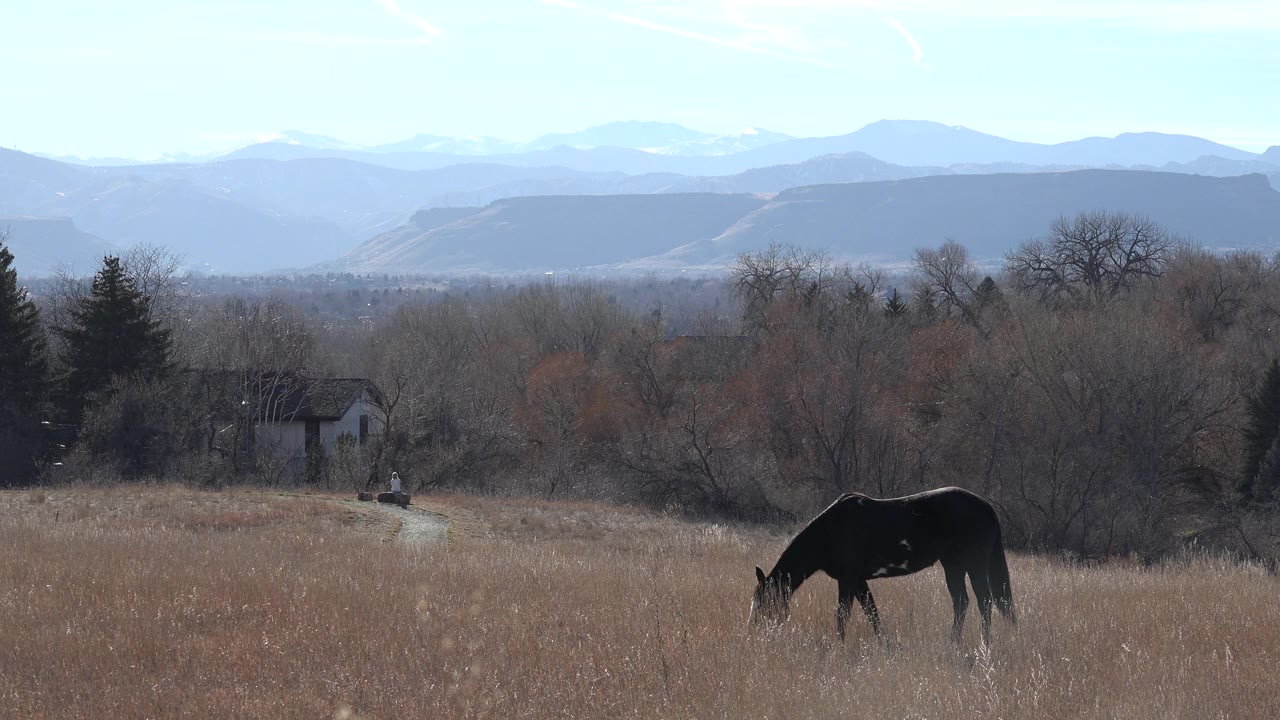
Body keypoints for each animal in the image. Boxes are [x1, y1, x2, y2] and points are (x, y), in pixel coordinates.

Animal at [749, 487, 1016, 646]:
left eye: (765, 602)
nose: (754, 632)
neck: (831, 531)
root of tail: (986, 507)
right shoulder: (858, 581)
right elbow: (871, 611)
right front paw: (884, 644)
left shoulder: (847, 580)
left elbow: (843, 614)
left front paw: (839, 645)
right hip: (953, 565)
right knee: (962, 602)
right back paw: (952, 643)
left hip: (974, 564)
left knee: (984, 601)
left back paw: (984, 644)